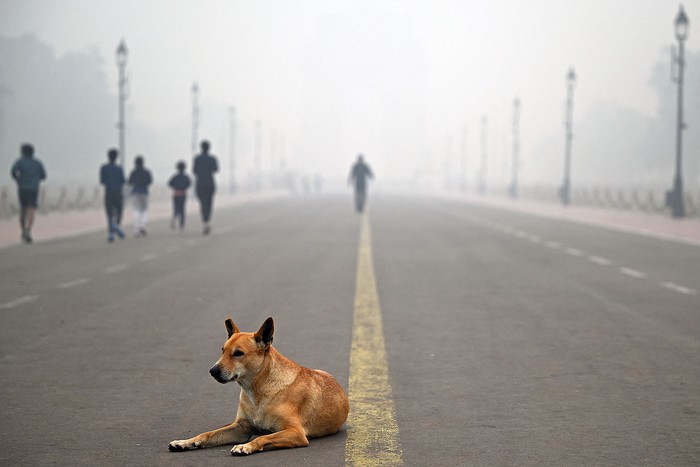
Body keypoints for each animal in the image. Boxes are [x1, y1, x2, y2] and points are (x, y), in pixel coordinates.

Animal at [167, 318, 352, 458]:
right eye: (222, 350)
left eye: (238, 353)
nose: (212, 371)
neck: (257, 390)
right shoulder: (241, 428)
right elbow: (208, 434)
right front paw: (185, 442)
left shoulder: (295, 433)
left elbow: (262, 438)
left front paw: (246, 446)